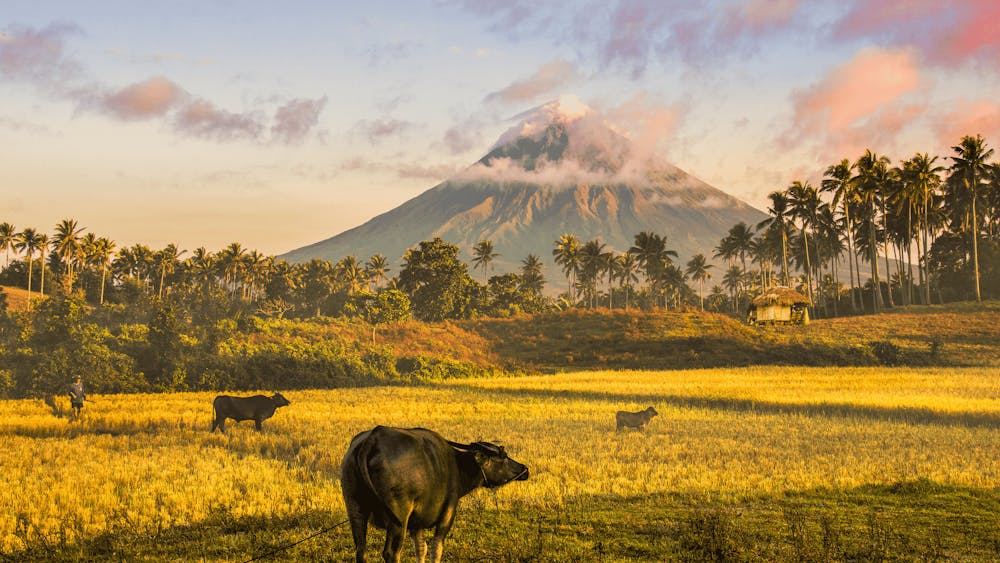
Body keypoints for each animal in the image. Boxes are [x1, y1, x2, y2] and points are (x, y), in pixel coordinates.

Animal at [342, 426, 532, 560]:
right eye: (503, 457)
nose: (525, 469)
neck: (458, 466)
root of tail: (372, 440)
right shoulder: (447, 514)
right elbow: (436, 549)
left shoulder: (417, 523)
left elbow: (421, 549)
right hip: (398, 518)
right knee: (391, 553)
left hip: (355, 510)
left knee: (361, 550)